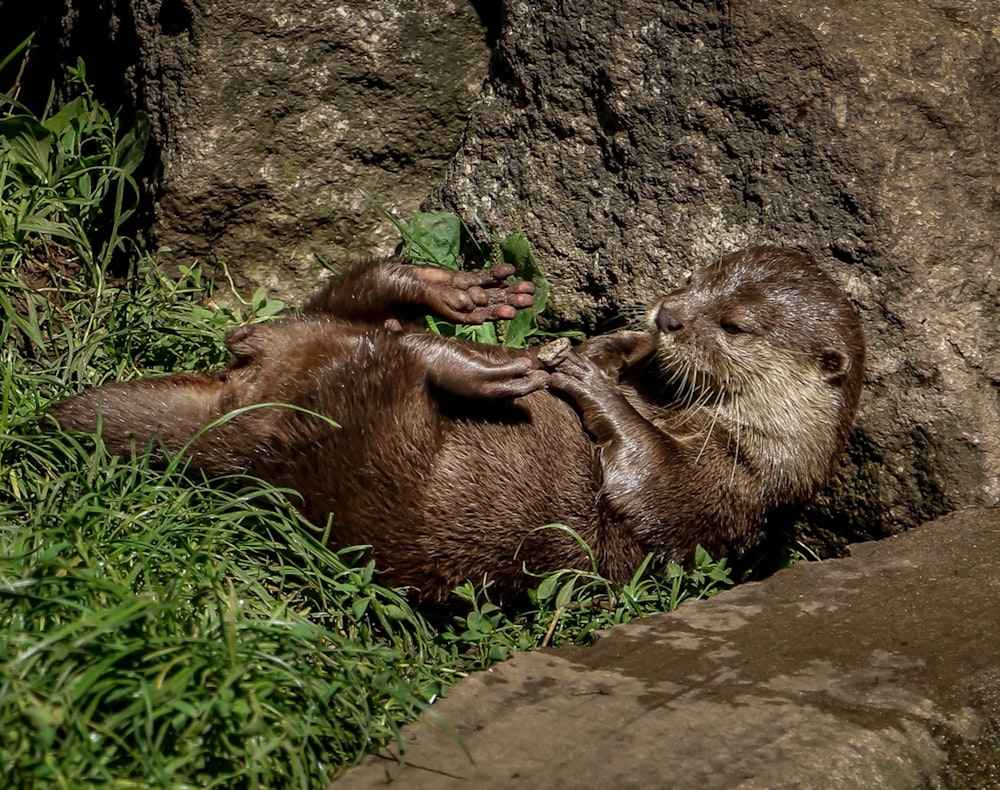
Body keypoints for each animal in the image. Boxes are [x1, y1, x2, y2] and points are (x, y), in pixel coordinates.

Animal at [47, 249, 864, 608]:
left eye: (734, 326)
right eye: (696, 278)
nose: (668, 316)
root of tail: (228, 422)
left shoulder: (724, 492)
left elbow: (644, 480)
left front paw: (589, 376)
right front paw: (608, 348)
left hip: (346, 439)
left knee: (387, 360)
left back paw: (477, 364)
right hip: (310, 353)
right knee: (349, 307)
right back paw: (453, 297)